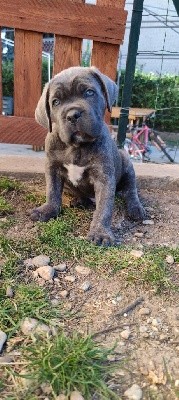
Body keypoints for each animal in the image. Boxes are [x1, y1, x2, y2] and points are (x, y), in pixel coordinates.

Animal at [30, 67, 145, 245]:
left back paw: (136, 208)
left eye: (89, 92)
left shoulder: (104, 177)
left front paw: (100, 233)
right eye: (55, 102)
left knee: (130, 190)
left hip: (127, 163)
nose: (72, 115)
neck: (77, 147)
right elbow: (52, 191)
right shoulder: (52, 167)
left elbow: (104, 208)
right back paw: (80, 200)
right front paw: (47, 210)